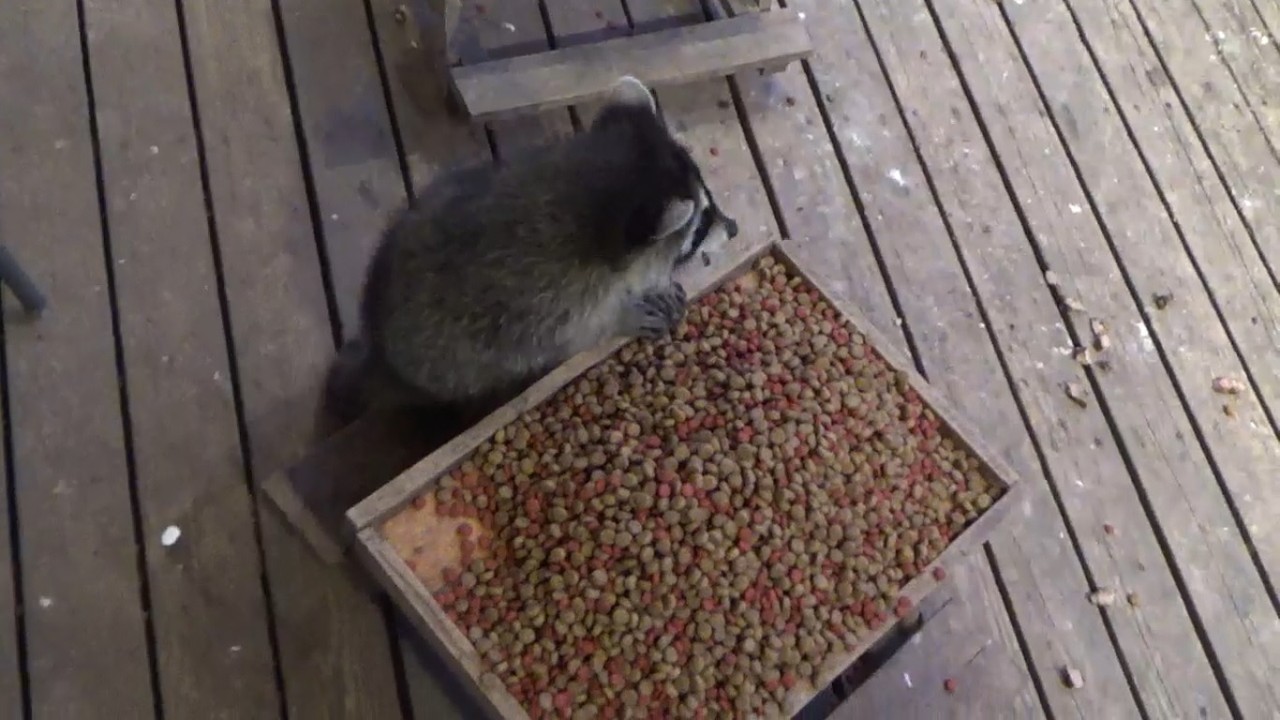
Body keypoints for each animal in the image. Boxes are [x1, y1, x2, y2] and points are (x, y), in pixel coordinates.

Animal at [323, 76, 739, 427]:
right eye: (699, 229)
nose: (733, 229)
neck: (592, 181)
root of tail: (381, 352)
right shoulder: (551, 297)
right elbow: (570, 336)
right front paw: (622, 314)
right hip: (453, 365)